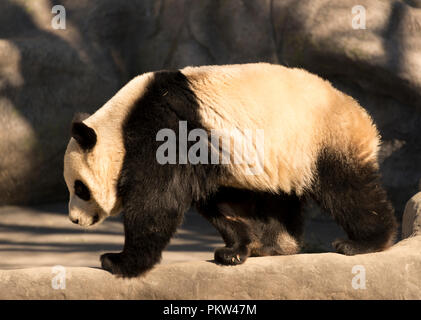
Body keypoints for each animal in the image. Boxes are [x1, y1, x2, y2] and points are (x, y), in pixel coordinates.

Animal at [63, 63, 398, 278]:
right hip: (285, 157)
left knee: (347, 189)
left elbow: (156, 201)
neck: (120, 123)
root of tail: (363, 116)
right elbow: (218, 200)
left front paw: (118, 261)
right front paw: (235, 249)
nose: (74, 219)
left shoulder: (165, 129)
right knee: (280, 199)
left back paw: (363, 242)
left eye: (79, 188)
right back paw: (276, 245)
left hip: (322, 139)